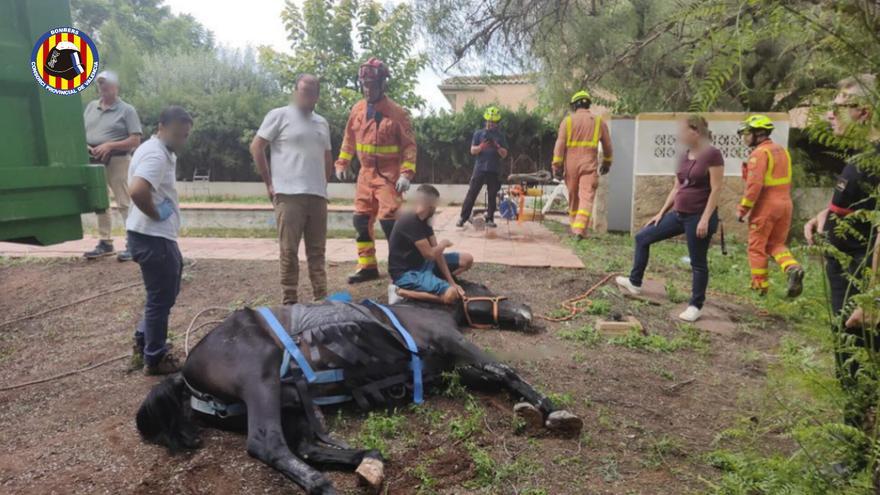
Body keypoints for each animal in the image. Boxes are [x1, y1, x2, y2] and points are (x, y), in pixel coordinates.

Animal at [136, 290, 572, 495]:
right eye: (484, 288)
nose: (528, 313)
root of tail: (185, 377)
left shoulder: (444, 370)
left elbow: (496, 377)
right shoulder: (454, 343)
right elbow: (504, 369)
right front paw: (552, 410)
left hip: (290, 400)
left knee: (305, 445)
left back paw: (367, 460)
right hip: (260, 378)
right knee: (267, 444)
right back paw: (322, 483)